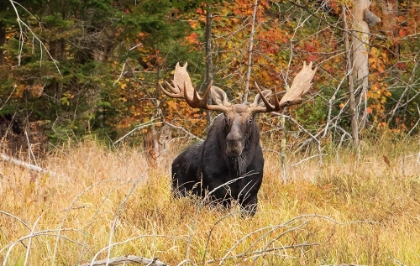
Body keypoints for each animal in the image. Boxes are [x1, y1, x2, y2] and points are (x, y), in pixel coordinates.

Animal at [159, 62, 316, 216]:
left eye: (250, 120)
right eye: (226, 119)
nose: (234, 143)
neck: (236, 170)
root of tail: (175, 161)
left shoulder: (250, 195)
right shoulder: (217, 194)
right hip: (178, 191)